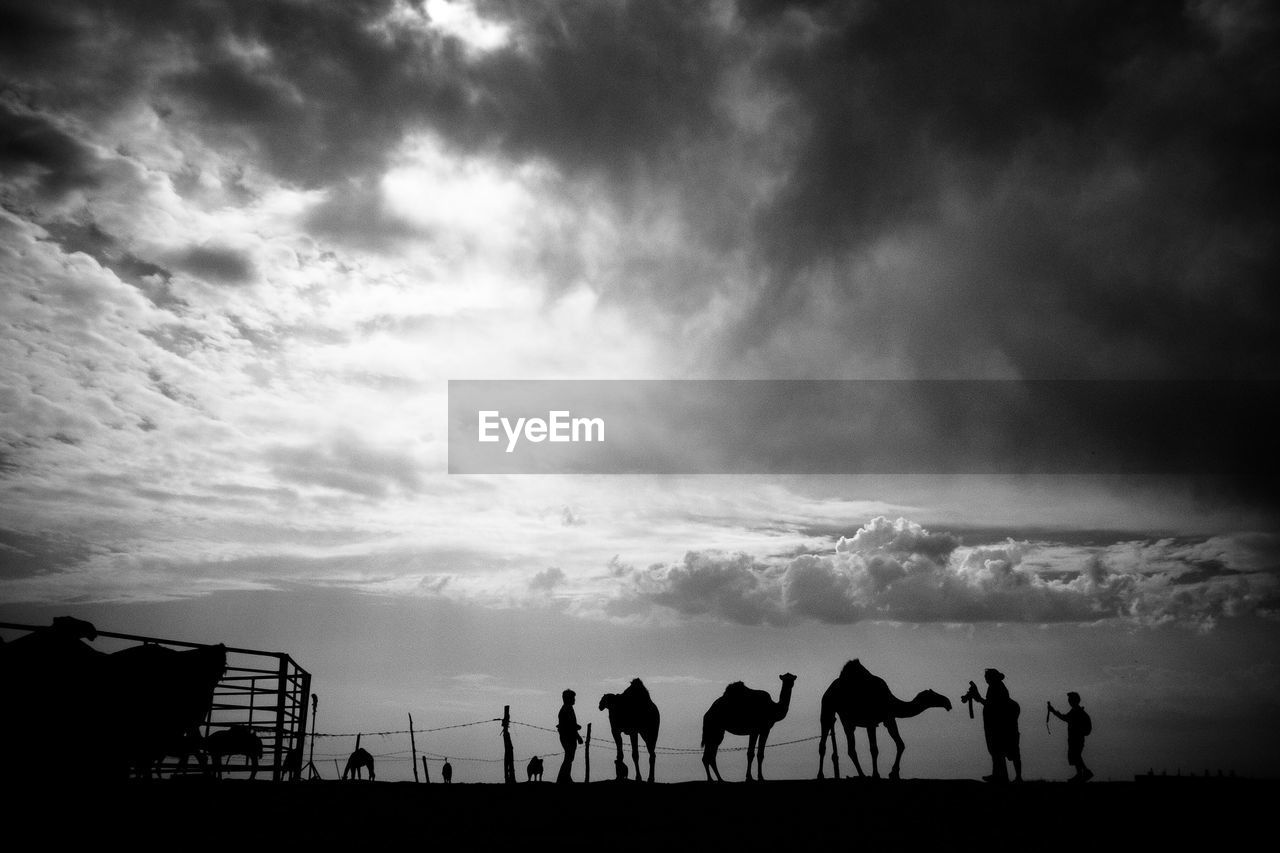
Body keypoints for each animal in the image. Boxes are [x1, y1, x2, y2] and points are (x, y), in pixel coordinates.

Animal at [819, 655, 952, 778]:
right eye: (933, 695)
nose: (948, 703)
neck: (890, 701)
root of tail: (830, 689)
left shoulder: (889, 718)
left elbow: (900, 744)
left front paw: (894, 773)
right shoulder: (871, 721)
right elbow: (874, 749)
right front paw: (876, 774)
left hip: (845, 719)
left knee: (849, 748)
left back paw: (860, 774)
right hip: (827, 707)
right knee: (826, 742)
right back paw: (824, 775)